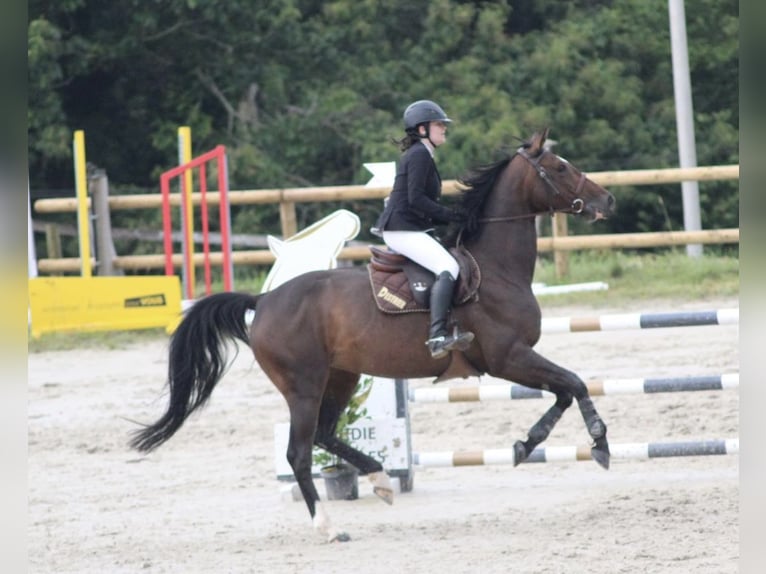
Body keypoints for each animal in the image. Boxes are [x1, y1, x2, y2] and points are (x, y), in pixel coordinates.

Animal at [130, 129, 616, 544]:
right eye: (559, 167)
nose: (607, 199)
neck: (496, 268)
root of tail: (264, 301)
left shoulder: (516, 359)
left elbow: (565, 390)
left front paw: (527, 443)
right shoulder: (508, 358)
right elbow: (574, 384)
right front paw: (597, 443)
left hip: (340, 377)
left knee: (326, 435)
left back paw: (380, 480)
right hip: (304, 387)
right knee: (299, 454)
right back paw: (329, 527)